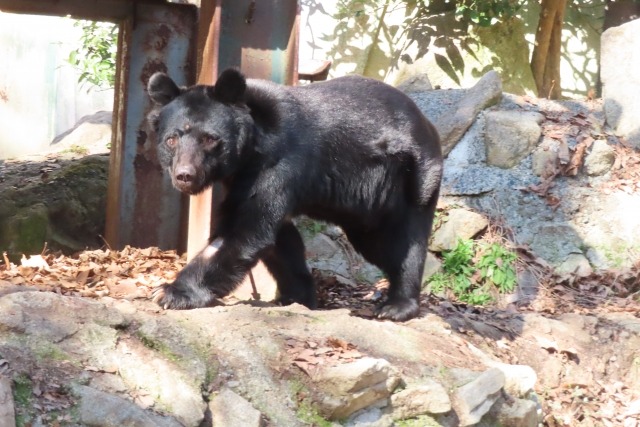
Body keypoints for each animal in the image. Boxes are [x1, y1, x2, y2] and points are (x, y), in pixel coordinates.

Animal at [148, 69, 442, 320]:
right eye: (171, 139)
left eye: (210, 139)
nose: (184, 175)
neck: (251, 149)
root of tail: (427, 123)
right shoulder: (243, 179)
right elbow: (278, 238)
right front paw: (295, 297)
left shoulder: (280, 162)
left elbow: (245, 230)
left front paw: (169, 292)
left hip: (408, 179)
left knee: (402, 242)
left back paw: (397, 306)